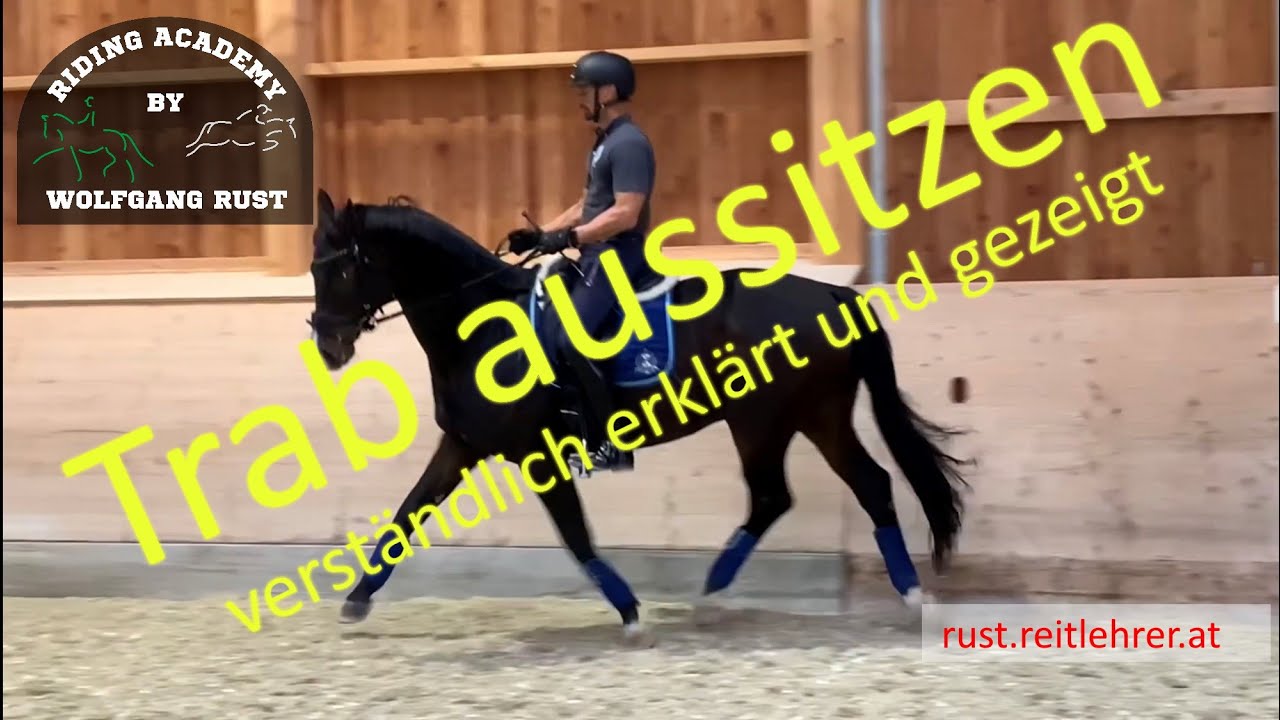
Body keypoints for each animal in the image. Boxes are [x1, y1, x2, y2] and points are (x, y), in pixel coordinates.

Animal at [306, 188, 971, 644]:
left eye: (341, 267)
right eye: (314, 268)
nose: (328, 346)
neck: (485, 328)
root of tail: (834, 294)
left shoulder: (536, 454)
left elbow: (575, 534)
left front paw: (628, 612)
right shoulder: (464, 444)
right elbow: (405, 517)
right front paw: (356, 601)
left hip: (772, 419)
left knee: (800, 493)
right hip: (804, 416)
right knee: (841, 488)